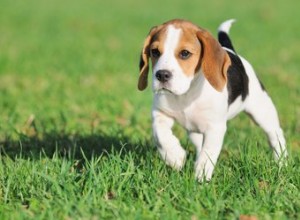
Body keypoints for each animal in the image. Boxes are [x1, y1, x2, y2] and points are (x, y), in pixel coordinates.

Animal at [137, 18, 288, 181]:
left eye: (185, 53)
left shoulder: (215, 127)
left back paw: (282, 163)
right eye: (155, 52)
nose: (162, 75)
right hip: (194, 131)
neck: (186, 94)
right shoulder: (160, 113)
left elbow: (208, 153)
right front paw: (174, 156)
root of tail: (231, 51)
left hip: (263, 111)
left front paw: (201, 177)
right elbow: (160, 134)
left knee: (275, 135)